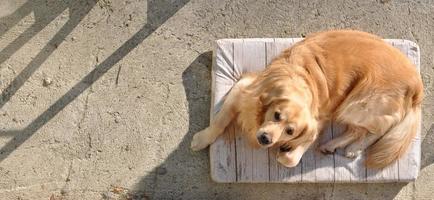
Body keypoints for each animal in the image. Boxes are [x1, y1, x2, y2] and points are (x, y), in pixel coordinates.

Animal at [191, 29, 424, 169]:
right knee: (358, 130)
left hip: (358, 103)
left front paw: (286, 151)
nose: (265, 139)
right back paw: (334, 144)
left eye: (290, 131)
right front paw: (202, 139)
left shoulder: (316, 121)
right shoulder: (243, 88)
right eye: (276, 115)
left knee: (378, 130)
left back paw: (353, 149)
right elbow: (219, 121)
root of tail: (418, 85)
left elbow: (294, 156)